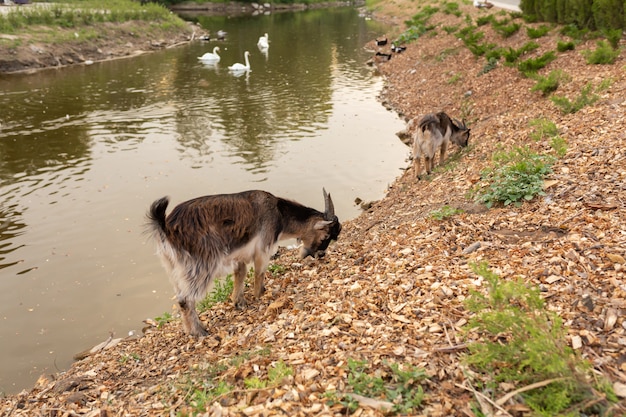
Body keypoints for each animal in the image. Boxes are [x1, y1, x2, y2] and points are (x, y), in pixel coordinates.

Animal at [146, 190, 342, 336]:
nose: (321, 254)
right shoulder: (263, 248)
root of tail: (166, 228)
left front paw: (238, 301)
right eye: (325, 236)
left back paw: (189, 330)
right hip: (200, 266)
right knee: (186, 300)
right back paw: (199, 332)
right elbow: (259, 272)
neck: (279, 213)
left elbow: (240, 275)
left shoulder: (240, 256)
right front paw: (259, 295)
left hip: (173, 268)